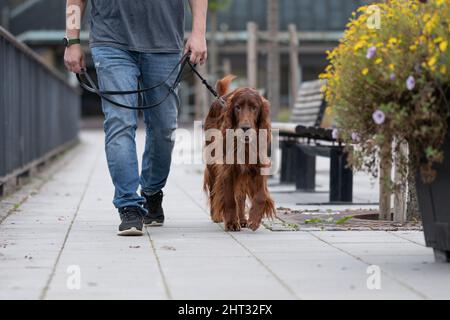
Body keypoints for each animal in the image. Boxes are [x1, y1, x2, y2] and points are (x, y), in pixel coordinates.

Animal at [203, 75, 274, 230]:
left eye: (254, 107)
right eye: (237, 107)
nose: (245, 127)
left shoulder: (259, 164)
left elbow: (260, 195)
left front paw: (254, 218)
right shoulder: (227, 168)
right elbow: (229, 198)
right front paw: (231, 222)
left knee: (240, 196)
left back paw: (242, 219)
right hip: (212, 162)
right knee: (214, 188)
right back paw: (216, 216)